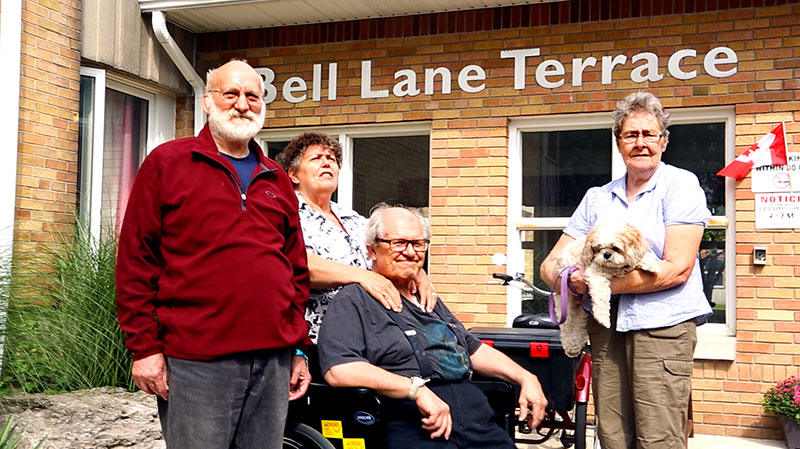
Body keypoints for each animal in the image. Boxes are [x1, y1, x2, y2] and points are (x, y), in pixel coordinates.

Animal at [552, 221, 660, 356]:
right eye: (598, 248)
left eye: (615, 248)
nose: (606, 254)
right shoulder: (595, 275)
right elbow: (601, 298)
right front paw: (603, 319)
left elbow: (638, 258)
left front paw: (651, 265)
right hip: (566, 306)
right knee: (568, 326)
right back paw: (571, 347)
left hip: (580, 310)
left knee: (578, 324)